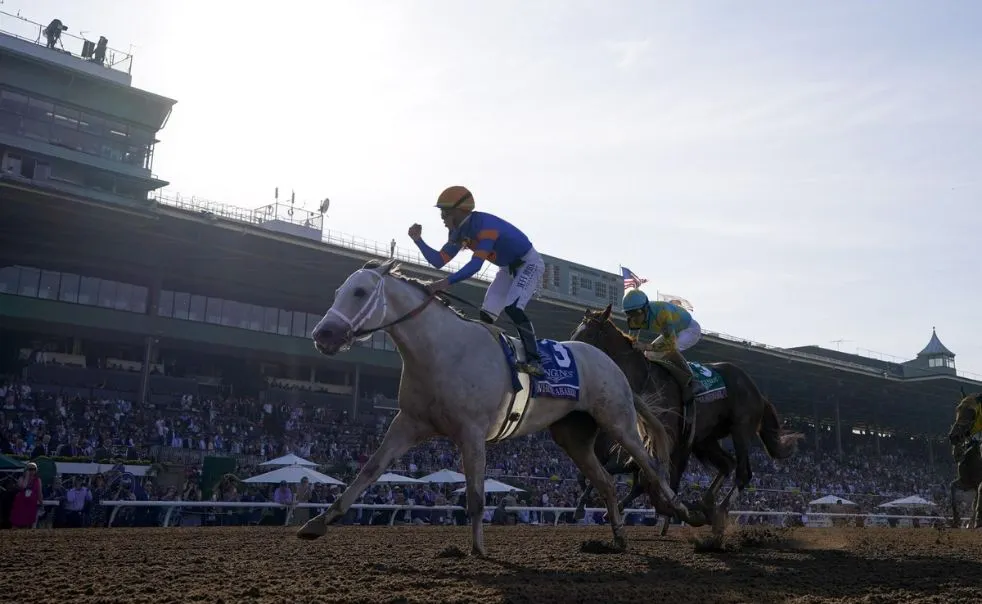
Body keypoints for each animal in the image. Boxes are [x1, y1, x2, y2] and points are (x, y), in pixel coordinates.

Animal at [296, 258, 696, 556]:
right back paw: (618, 536)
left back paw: (680, 509)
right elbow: (368, 471)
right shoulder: (408, 423)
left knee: (650, 465)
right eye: (339, 291)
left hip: (618, 421)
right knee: (607, 483)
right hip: (573, 438)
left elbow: (475, 494)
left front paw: (477, 549)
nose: (322, 334)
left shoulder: (471, 432)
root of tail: (611, 363)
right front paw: (318, 522)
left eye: (360, 291)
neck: (441, 351)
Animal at [568, 306, 808, 532]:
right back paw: (704, 503)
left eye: (589, 334)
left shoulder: (668, 437)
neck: (643, 378)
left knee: (743, 473)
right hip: (705, 439)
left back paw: (718, 511)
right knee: (727, 464)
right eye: (575, 330)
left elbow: (642, 473)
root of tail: (758, 392)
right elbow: (626, 470)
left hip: (740, 429)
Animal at [944, 392, 982, 528]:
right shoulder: (967, 482)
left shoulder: (977, 482)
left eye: (972, 411)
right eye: (957, 409)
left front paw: (974, 522)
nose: (954, 436)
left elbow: (975, 502)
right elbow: (952, 487)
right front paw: (956, 520)